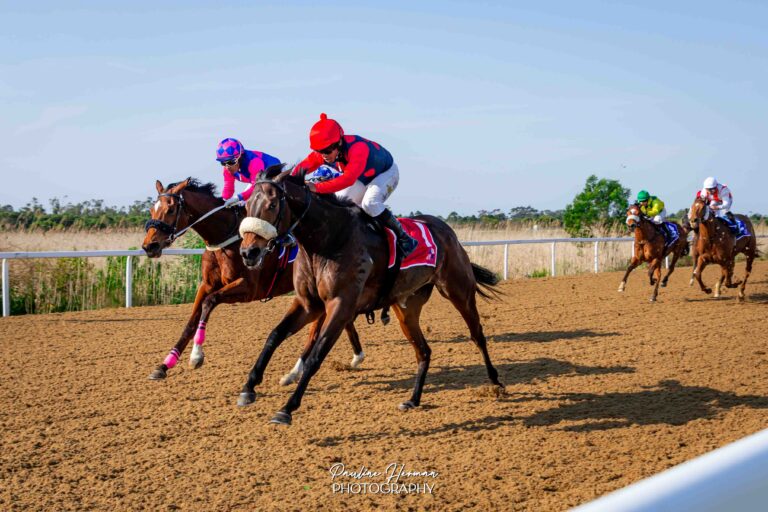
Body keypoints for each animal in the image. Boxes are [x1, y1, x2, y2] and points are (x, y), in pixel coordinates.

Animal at [141, 178, 365, 382]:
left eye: (171, 210)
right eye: (152, 209)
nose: (149, 246)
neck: (226, 238)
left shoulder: (249, 288)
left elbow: (209, 303)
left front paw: (196, 356)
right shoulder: (207, 285)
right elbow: (190, 322)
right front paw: (164, 365)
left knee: (317, 327)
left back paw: (295, 371)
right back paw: (356, 355)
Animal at [236, 165, 503, 425]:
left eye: (272, 205)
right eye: (247, 206)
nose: (249, 252)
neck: (327, 240)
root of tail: (449, 232)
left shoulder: (341, 305)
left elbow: (316, 355)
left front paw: (287, 408)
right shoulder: (308, 304)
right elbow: (274, 336)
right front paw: (249, 388)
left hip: (459, 291)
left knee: (477, 334)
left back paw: (495, 382)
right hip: (406, 308)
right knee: (424, 351)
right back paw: (413, 400)